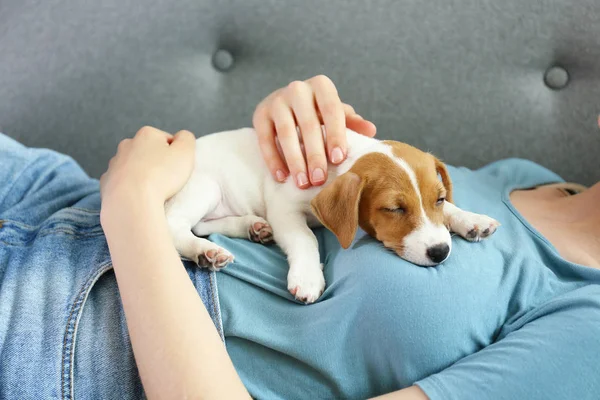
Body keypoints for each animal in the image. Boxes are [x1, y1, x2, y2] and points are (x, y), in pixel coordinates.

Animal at [166, 128, 500, 304]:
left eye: (439, 199)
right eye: (394, 209)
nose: (440, 252)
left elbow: (451, 212)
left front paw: (471, 218)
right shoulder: (284, 208)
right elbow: (306, 239)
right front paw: (307, 277)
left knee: (202, 224)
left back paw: (253, 227)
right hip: (204, 188)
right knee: (175, 226)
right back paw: (205, 251)